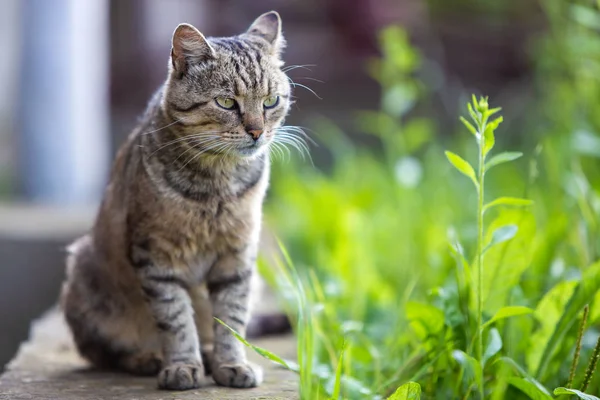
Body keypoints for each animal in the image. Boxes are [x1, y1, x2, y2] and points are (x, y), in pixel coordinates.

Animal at [60, 11, 292, 390]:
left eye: (271, 101)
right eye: (226, 102)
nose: (257, 131)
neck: (218, 181)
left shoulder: (238, 257)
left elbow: (231, 319)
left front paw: (232, 363)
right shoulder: (157, 259)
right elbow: (176, 320)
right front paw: (182, 365)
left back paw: (209, 356)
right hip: (85, 277)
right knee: (102, 353)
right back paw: (147, 358)